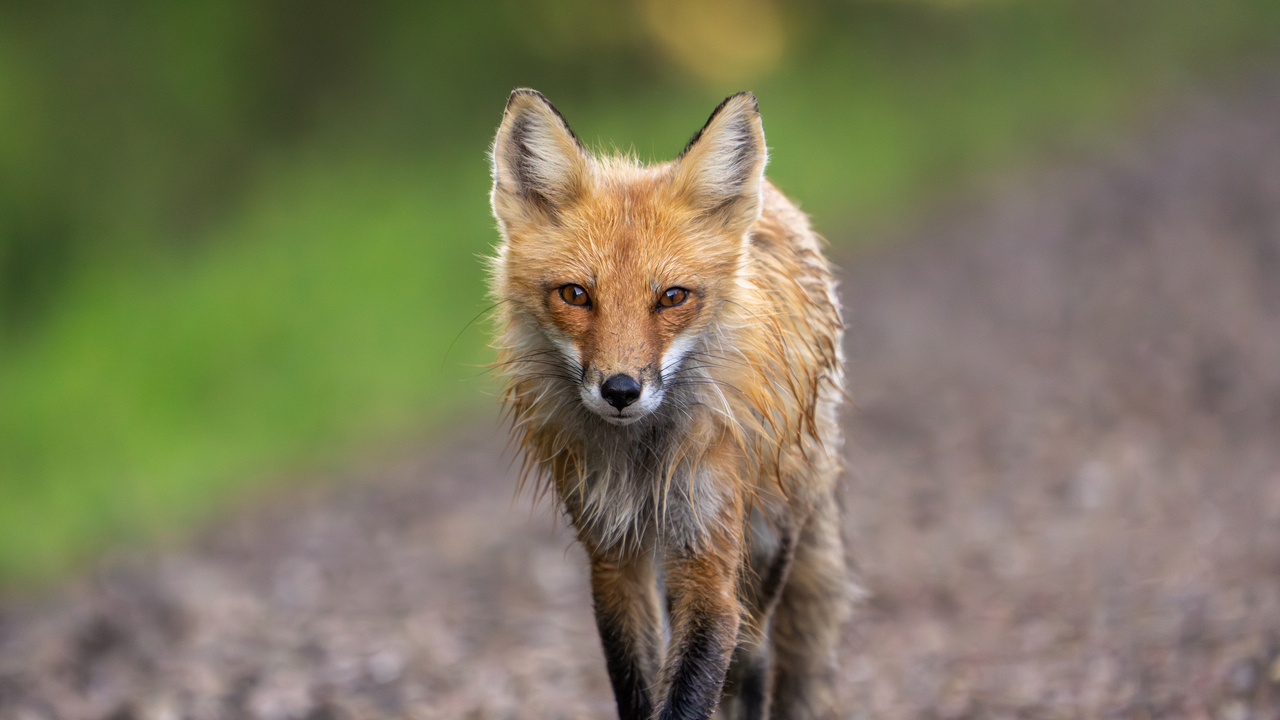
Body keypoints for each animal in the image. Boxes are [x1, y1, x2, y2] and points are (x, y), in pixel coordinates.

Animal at [487, 89, 851, 720]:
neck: (645, 460)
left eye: (672, 297)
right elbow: (639, 685)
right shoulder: (612, 554)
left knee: (752, 659)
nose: (620, 390)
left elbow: (693, 689)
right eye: (575, 295)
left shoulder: (708, 555)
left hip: (769, 535)